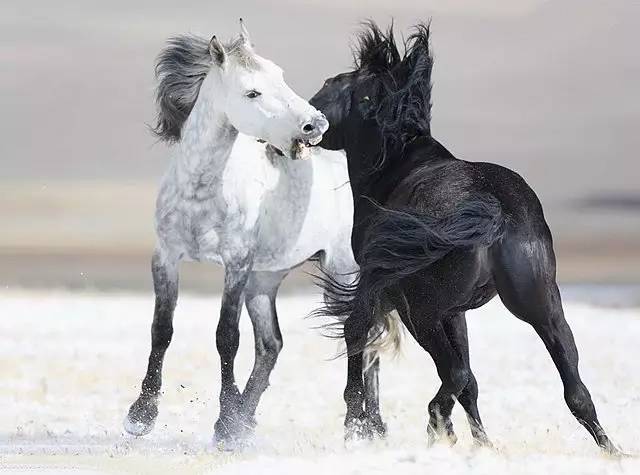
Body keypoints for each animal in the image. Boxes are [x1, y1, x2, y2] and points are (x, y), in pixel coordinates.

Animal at [124, 21, 384, 446]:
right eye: (252, 92)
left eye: (281, 77)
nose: (315, 125)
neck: (203, 190)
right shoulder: (166, 257)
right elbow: (162, 330)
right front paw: (141, 415)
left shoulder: (236, 264)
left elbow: (226, 337)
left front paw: (225, 417)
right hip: (266, 280)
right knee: (271, 345)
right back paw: (248, 420)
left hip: (343, 272)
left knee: (365, 335)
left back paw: (365, 425)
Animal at [310, 21, 620, 454]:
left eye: (330, 84)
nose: (307, 118)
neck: (399, 160)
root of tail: (497, 209)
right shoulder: (455, 312)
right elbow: (469, 382)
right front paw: (481, 444)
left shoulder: (396, 297)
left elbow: (362, 346)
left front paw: (361, 427)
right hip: (543, 307)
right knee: (574, 389)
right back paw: (611, 450)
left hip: (422, 311)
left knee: (452, 373)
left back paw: (435, 425)